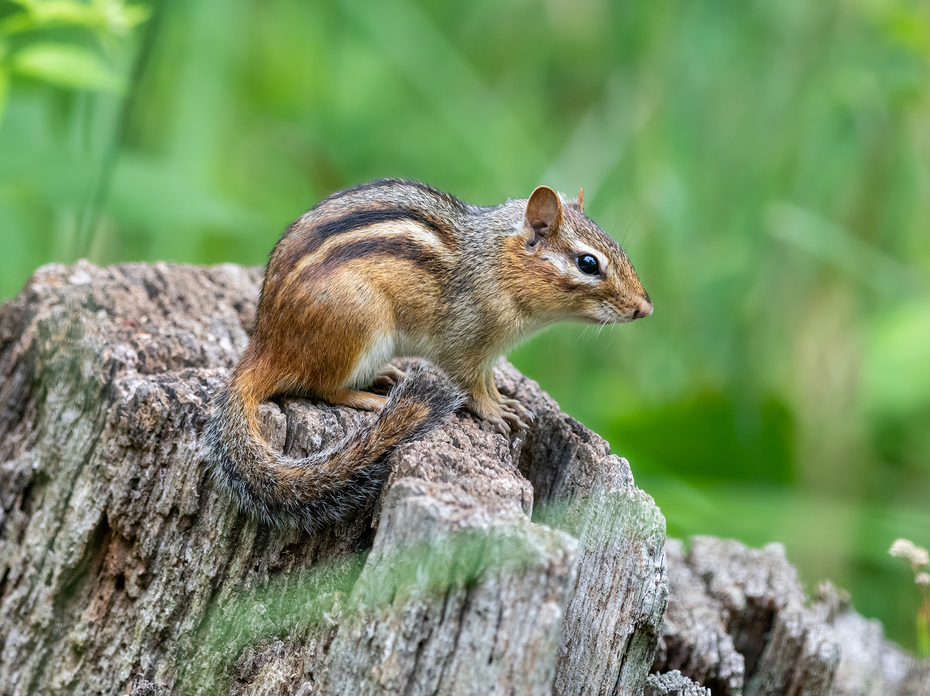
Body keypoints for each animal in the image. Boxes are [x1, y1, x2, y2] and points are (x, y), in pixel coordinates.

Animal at [203, 178, 653, 532]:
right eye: (588, 263)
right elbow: (471, 386)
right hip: (359, 326)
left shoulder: (487, 354)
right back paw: (371, 398)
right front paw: (495, 412)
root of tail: (263, 346)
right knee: (322, 388)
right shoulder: (465, 345)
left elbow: (488, 381)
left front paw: (508, 403)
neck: (494, 263)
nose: (645, 309)